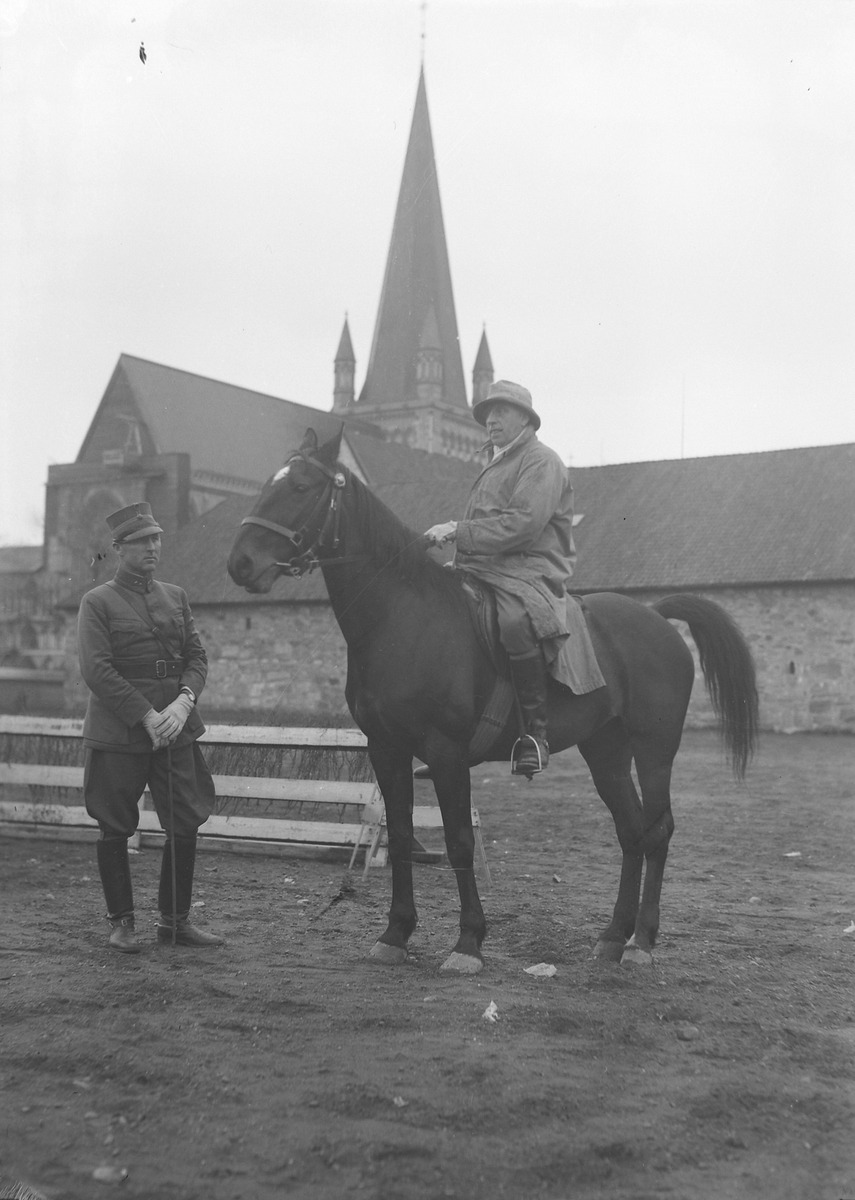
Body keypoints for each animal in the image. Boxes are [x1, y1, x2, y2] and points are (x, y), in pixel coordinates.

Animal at [226, 432, 754, 974]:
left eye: (301, 487)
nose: (240, 563)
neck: (402, 618)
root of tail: (657, 617)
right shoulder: (386, 749)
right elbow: (399, 835)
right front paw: (395, 933)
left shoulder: (446, 754)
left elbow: (459, 841)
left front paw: (468, 941)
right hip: (606, 751)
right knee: (631, 832)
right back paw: (613, 936)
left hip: (654, 750)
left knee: (658, 831)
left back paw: (642, 942)